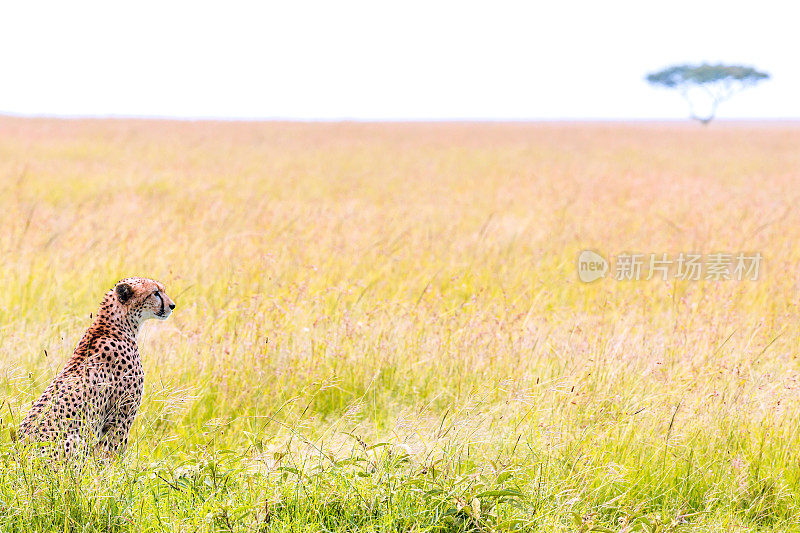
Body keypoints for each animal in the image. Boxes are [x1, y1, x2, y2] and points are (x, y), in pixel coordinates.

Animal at [18, 276, 177, 456]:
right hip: (76, 438)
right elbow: (114, 453)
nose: (172, 305)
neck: (116, 324)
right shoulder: (121, 417)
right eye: (155, 293)